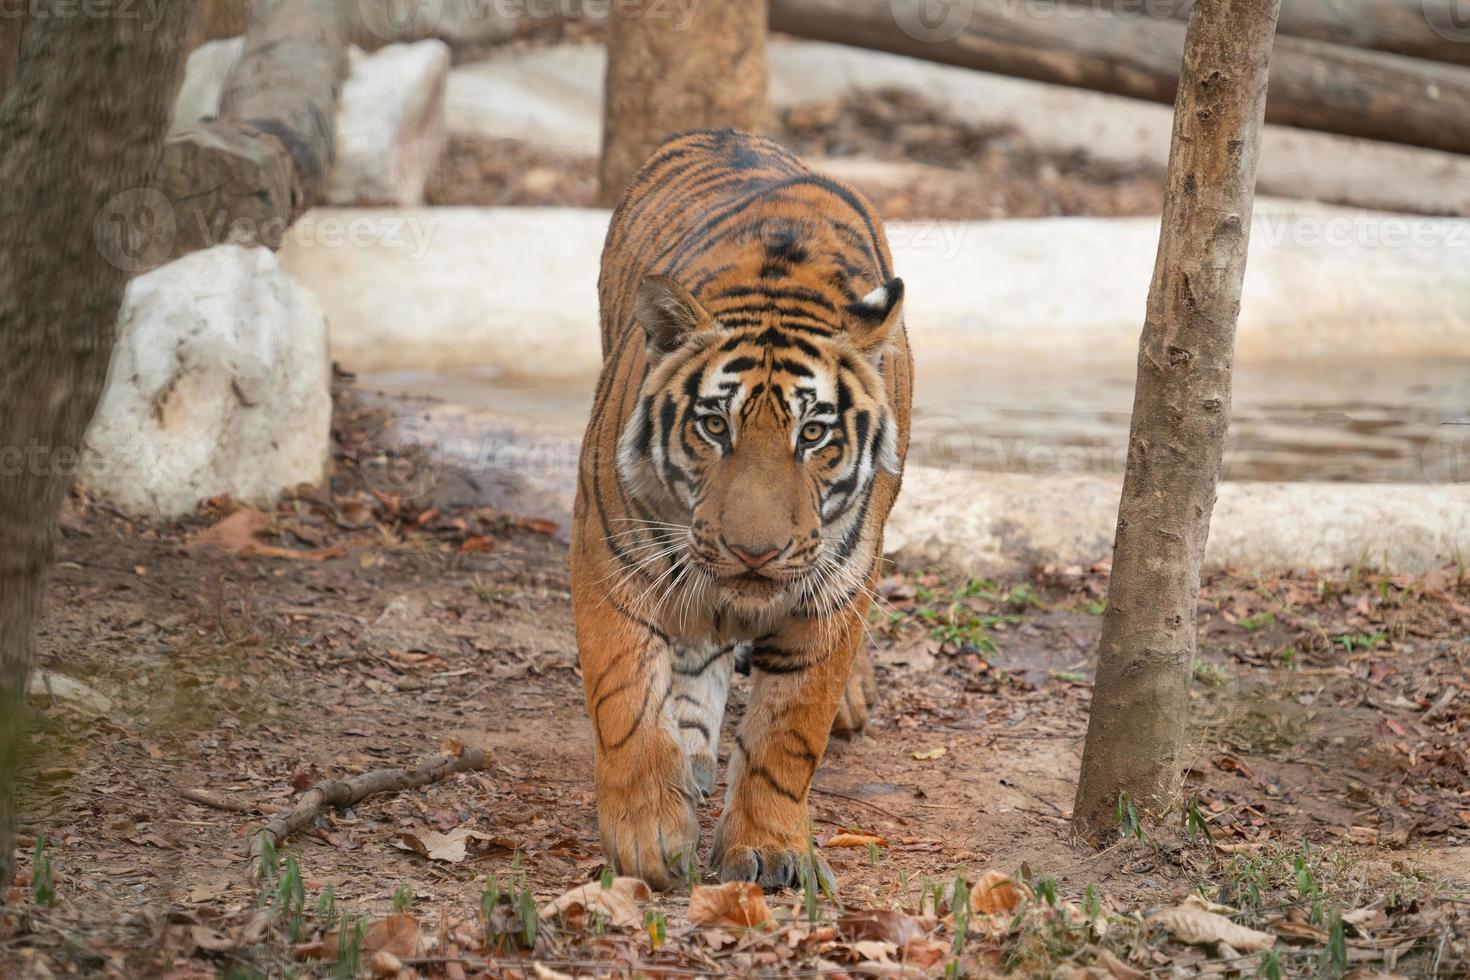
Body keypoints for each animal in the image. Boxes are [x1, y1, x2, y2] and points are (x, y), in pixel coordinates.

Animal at [570, 126, 905, 893]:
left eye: (813, 434)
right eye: (714, 426)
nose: (755, 552)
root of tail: (727, 132)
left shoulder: (835, 591)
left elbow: (790, 735)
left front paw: (768, 848)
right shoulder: (612, 558)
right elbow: (625, 700)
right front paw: (649, 839)